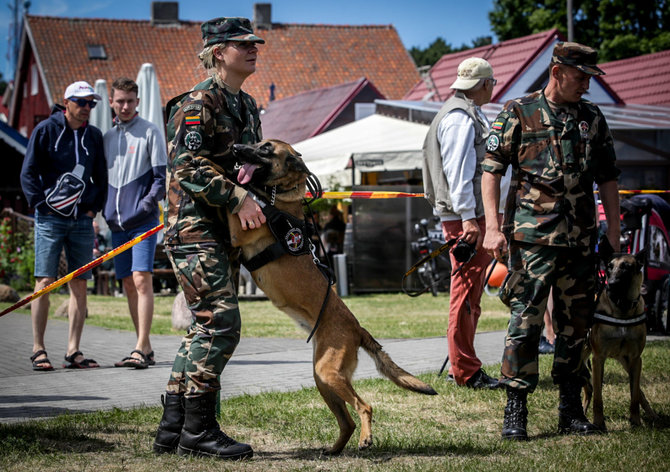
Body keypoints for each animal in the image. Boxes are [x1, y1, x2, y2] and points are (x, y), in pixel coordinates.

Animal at [228, 140, 438, 454]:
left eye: (265, 149)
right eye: (255, 144)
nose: (236, 147)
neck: (278, 197)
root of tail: (358, 328)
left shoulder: (237, 228)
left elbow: (234, 192)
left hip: (328, 374)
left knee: (365, 407)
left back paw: (365, 439)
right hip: (323, 377)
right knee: (346, 421)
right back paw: (335, 449)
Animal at [584, 253, 660, 430]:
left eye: (626, 267)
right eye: (609, 267)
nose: (610, 284)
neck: (622, 308)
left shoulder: (635, 359)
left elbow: (635, 395)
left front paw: (636, 422)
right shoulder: (598, 359)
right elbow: (598, 397)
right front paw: (599, 423)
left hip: (625, 361)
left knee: (639, 392)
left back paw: (652, 415)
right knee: (588, 388)